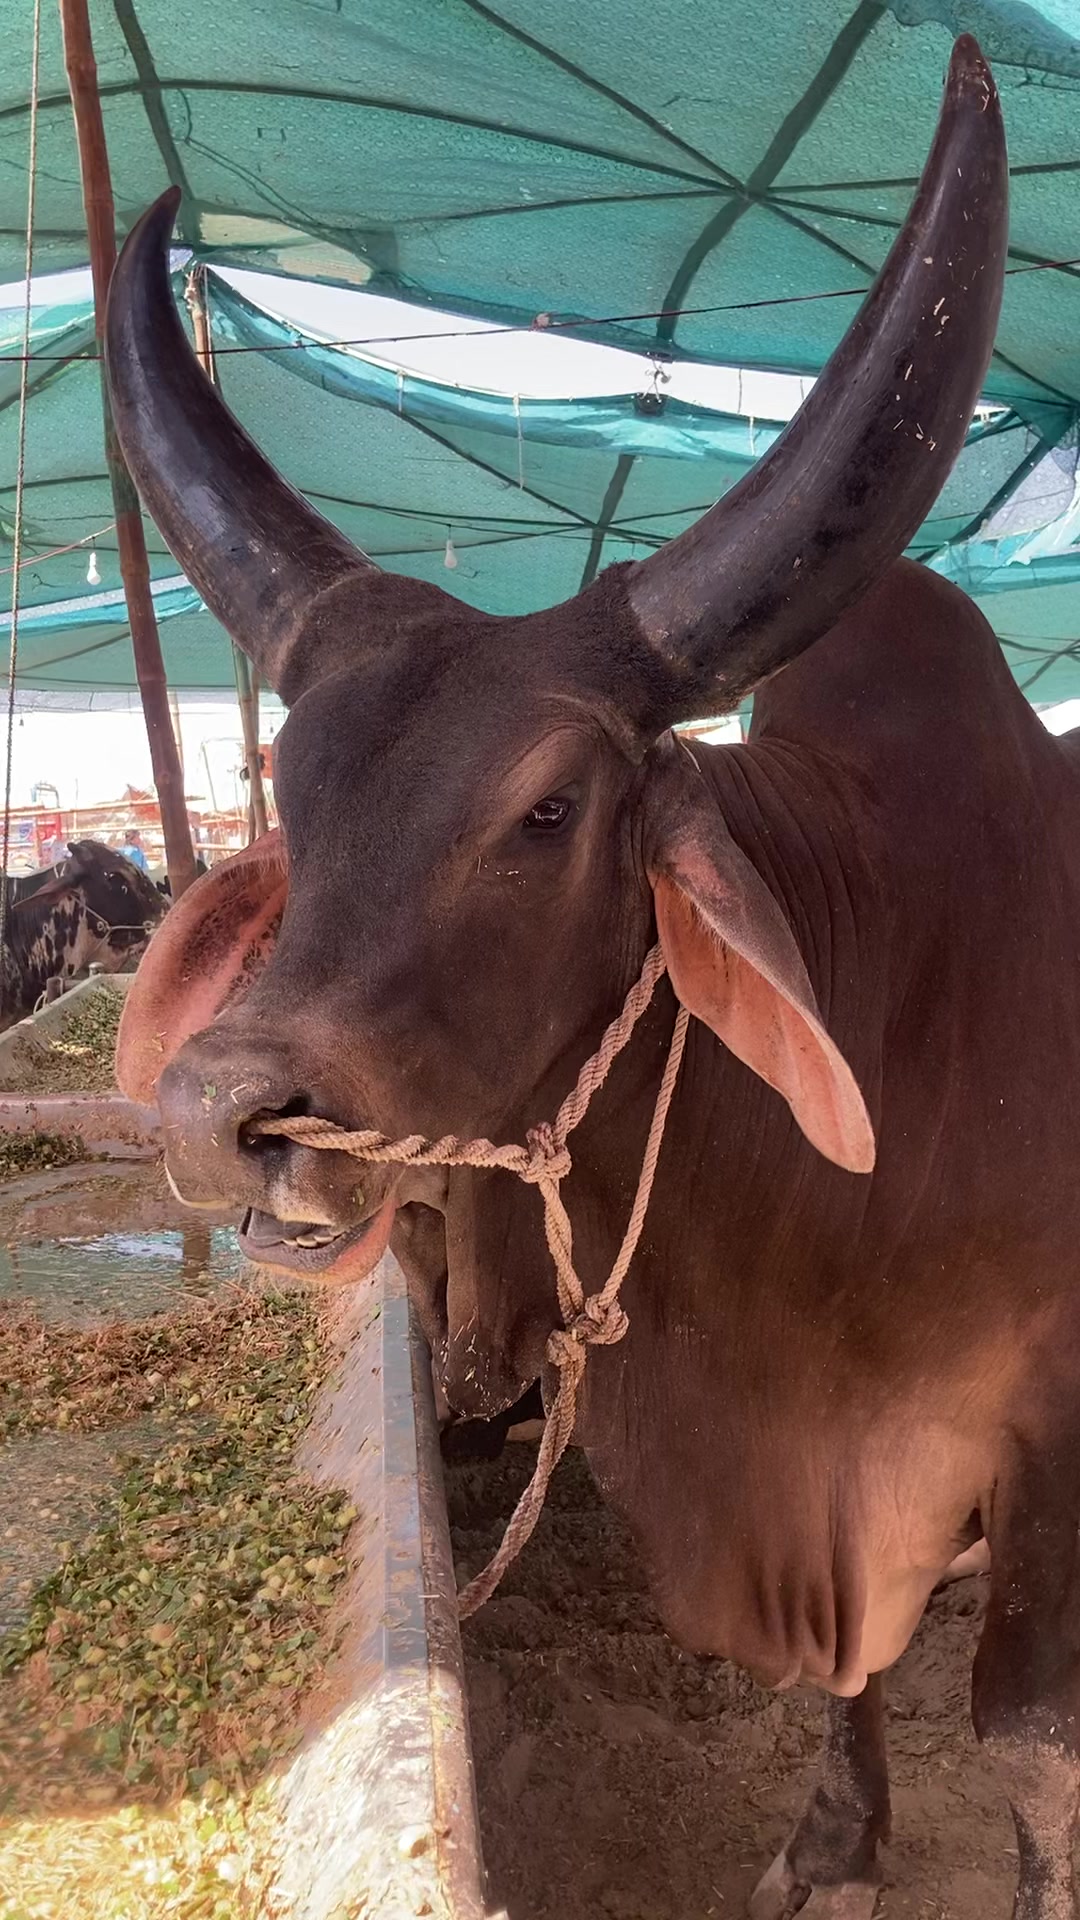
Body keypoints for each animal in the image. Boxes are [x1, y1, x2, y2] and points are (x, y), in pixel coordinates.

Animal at [103, 39, 1079, 1918]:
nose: (216, 1113)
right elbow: (854, 1677)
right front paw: (832, 1837)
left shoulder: (1055, 1434)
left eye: (550, 807)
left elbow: (1029, 1746)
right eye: (289, 788)